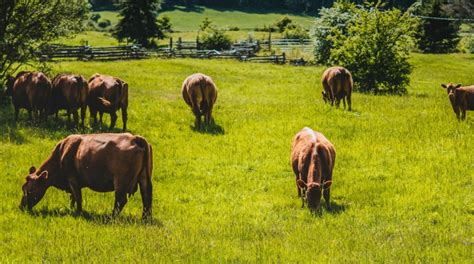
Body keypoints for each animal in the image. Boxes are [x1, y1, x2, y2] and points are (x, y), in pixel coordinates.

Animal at [19, 133, 153, 220]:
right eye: (23, 188)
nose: (21, 207)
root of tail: (135, 138)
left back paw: (111, 217)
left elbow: (78, 197)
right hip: (144, 178)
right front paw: (71, 209)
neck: (62, 152)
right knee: (146, 197)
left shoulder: (72, 179)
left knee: (121, 200)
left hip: (121, 181)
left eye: (30, 190)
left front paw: (79, 213)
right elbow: (73, 197)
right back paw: (145, 218)